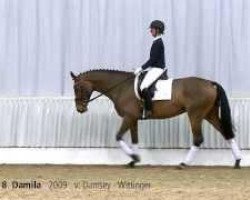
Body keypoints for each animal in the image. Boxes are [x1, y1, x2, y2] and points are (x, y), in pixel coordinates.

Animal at [69, 69, 241, 168]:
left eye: (77, 87)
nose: (80, 109)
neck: (121, 87)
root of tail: (210, 83)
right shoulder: (133, 119)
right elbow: (135, 139)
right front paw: (135, 159)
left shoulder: (128, 117)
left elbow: (118, 136)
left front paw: (133, 157)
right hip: (209, 114)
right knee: (226, 133)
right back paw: (237, 161)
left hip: (196, 114)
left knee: (198, 139)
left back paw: (183, 163)